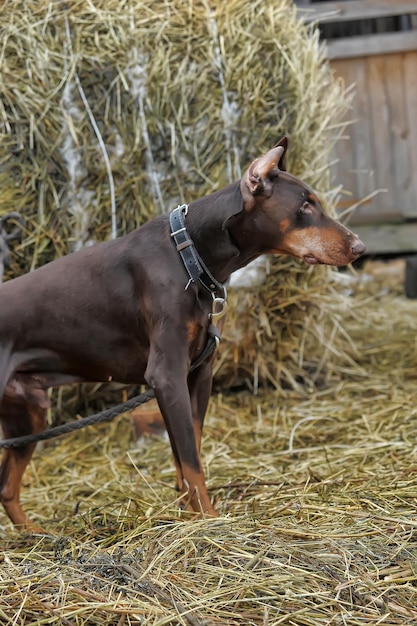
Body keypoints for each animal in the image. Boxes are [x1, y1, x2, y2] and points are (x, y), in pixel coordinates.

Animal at [0, 138, 364, 528]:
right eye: (305, 206)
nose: (360, 248)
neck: (189, 254)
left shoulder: (198, 374)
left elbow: (188, 454)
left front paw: (189, 516)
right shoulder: (167, 375)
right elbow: (192, 461)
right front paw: (209, 520)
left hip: (28, 413)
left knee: (7, 487)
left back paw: (39, 535)